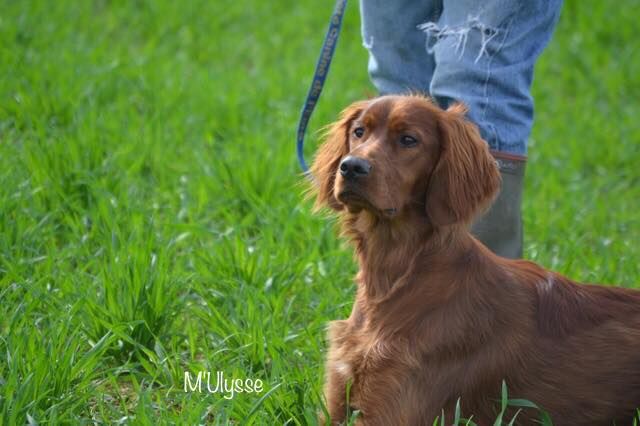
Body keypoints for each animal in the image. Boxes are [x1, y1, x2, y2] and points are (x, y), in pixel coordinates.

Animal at [310, 95, 640, 424]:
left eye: (408, 140)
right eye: (359, 132)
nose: (351, 167)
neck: (397, 276)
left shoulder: (391, 413)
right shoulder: (336, 402)